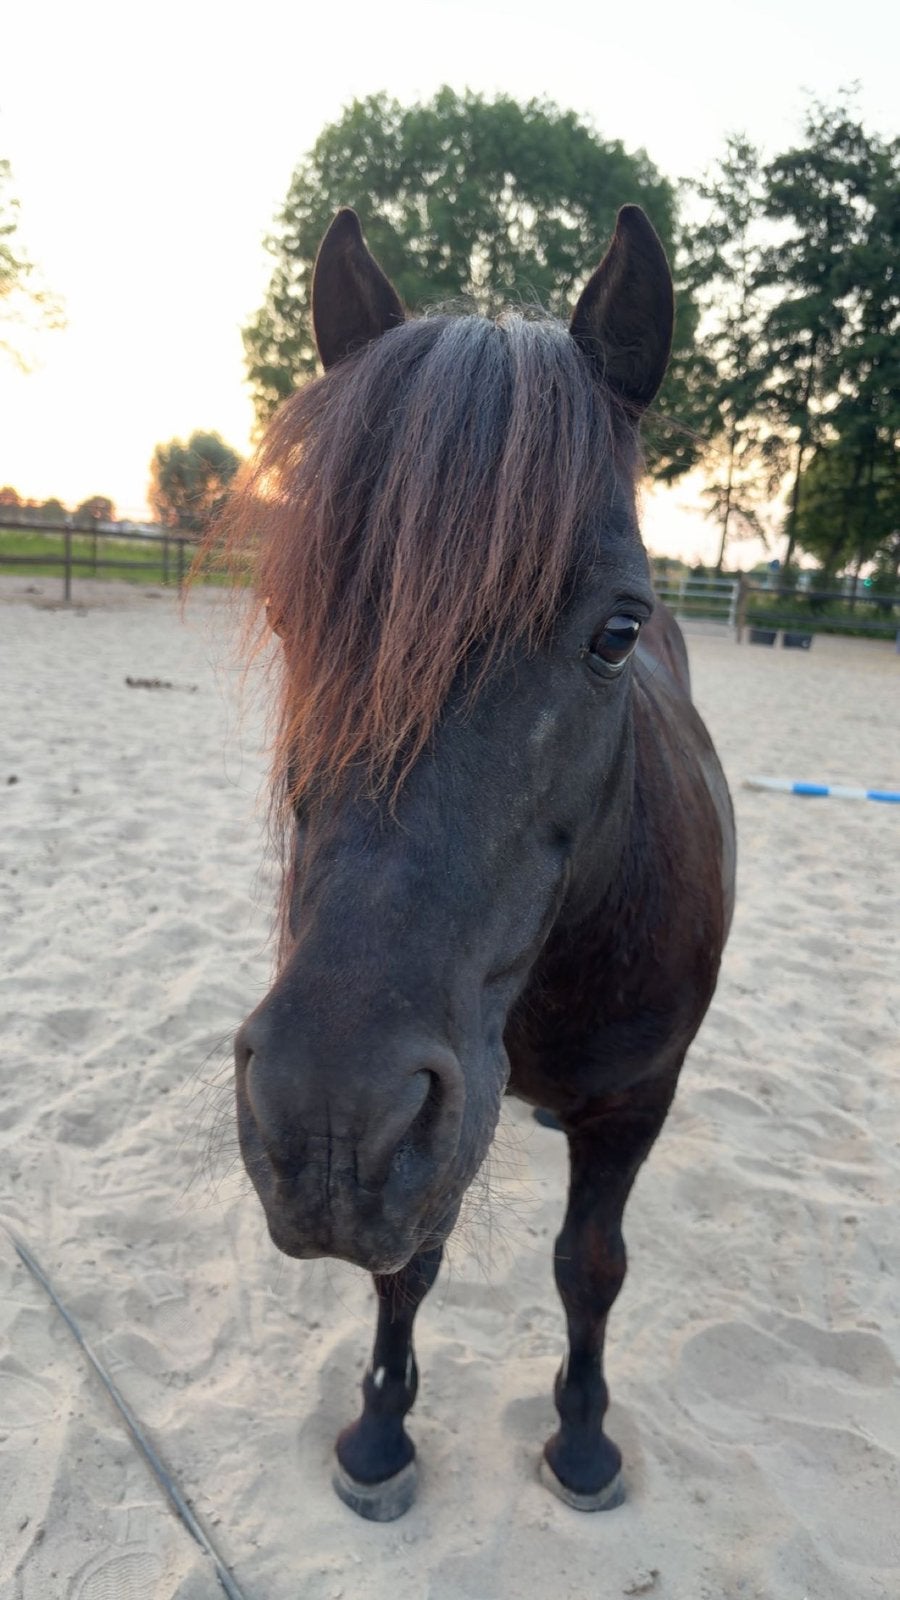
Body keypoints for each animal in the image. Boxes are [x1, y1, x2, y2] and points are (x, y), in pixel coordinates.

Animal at [223, 205, 735, 1522]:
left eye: (615, 632)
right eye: (292, 615)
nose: (329, 1125)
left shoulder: (635, 1104)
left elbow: (591, 1266)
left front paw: (585, 1439)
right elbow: (409, 1268)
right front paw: (379, 1432)